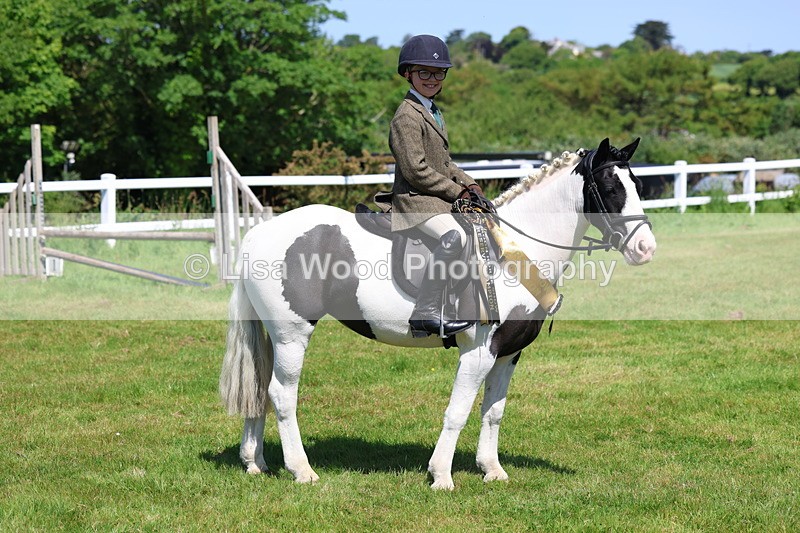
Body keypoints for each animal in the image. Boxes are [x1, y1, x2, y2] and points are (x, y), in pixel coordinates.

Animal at [219, 137, 657, 490]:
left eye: (638, 185)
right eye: (610, 187)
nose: (646, 249)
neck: (514, 252)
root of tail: (258, 234)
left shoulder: (508, 353)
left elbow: (493, 412)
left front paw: (492, 470)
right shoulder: (478, 352)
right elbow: (458, 412)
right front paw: (442, 476)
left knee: (258, 388)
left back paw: (255, 463)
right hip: (293, 334)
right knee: (281, 394)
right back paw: (302, 470)